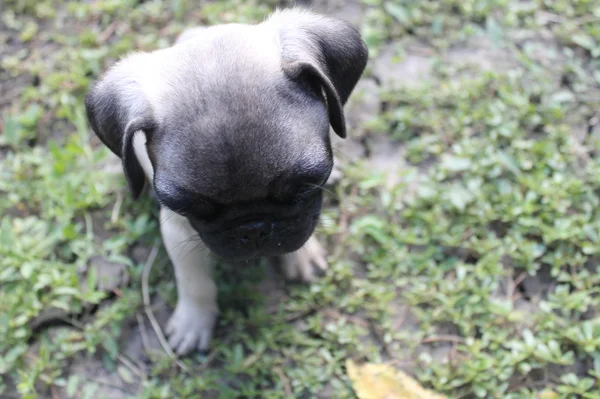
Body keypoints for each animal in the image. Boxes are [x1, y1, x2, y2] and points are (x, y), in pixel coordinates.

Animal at [84, 7, 366, 354]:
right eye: (193, 209)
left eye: (305, 187)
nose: (253, 228)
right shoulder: (178, 231)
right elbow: (195, 282)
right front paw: (194, 322)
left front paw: (303, 255)